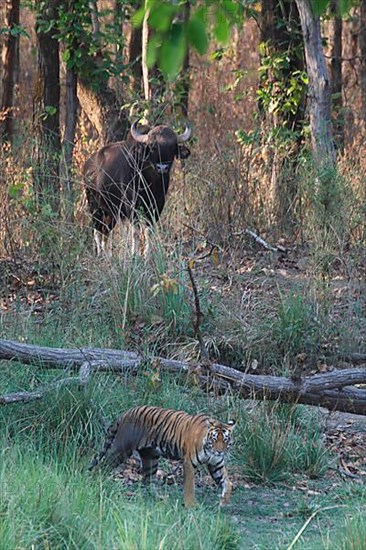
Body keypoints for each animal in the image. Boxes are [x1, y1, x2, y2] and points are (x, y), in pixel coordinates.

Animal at [83, 121, 192, 256]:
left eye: (172, 147)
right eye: (152, 147)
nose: (162, 168)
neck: (149, 181)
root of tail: (88, 166)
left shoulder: (157, 205)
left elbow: (149, 231)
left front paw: (146, 254)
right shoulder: (131, 206)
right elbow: (135, 232)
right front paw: (134, 254)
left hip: (112, 212)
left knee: (106, 232)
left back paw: (108, 256)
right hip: (95, 207)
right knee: (97, 231)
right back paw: (99, 255)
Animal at [90, 406, 236, 508]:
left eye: (225, 440)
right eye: (214, 439)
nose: (219, 452)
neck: (209, 449)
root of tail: (125, 413)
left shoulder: (216, 464)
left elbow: (226, 482)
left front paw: (223, 501)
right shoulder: (189, 463)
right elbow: (190, 485)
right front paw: (191, 505)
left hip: (151, 458)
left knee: (147, 481)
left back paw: (159, 498)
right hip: (122, 450)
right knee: (103, 465)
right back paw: (98, 482)